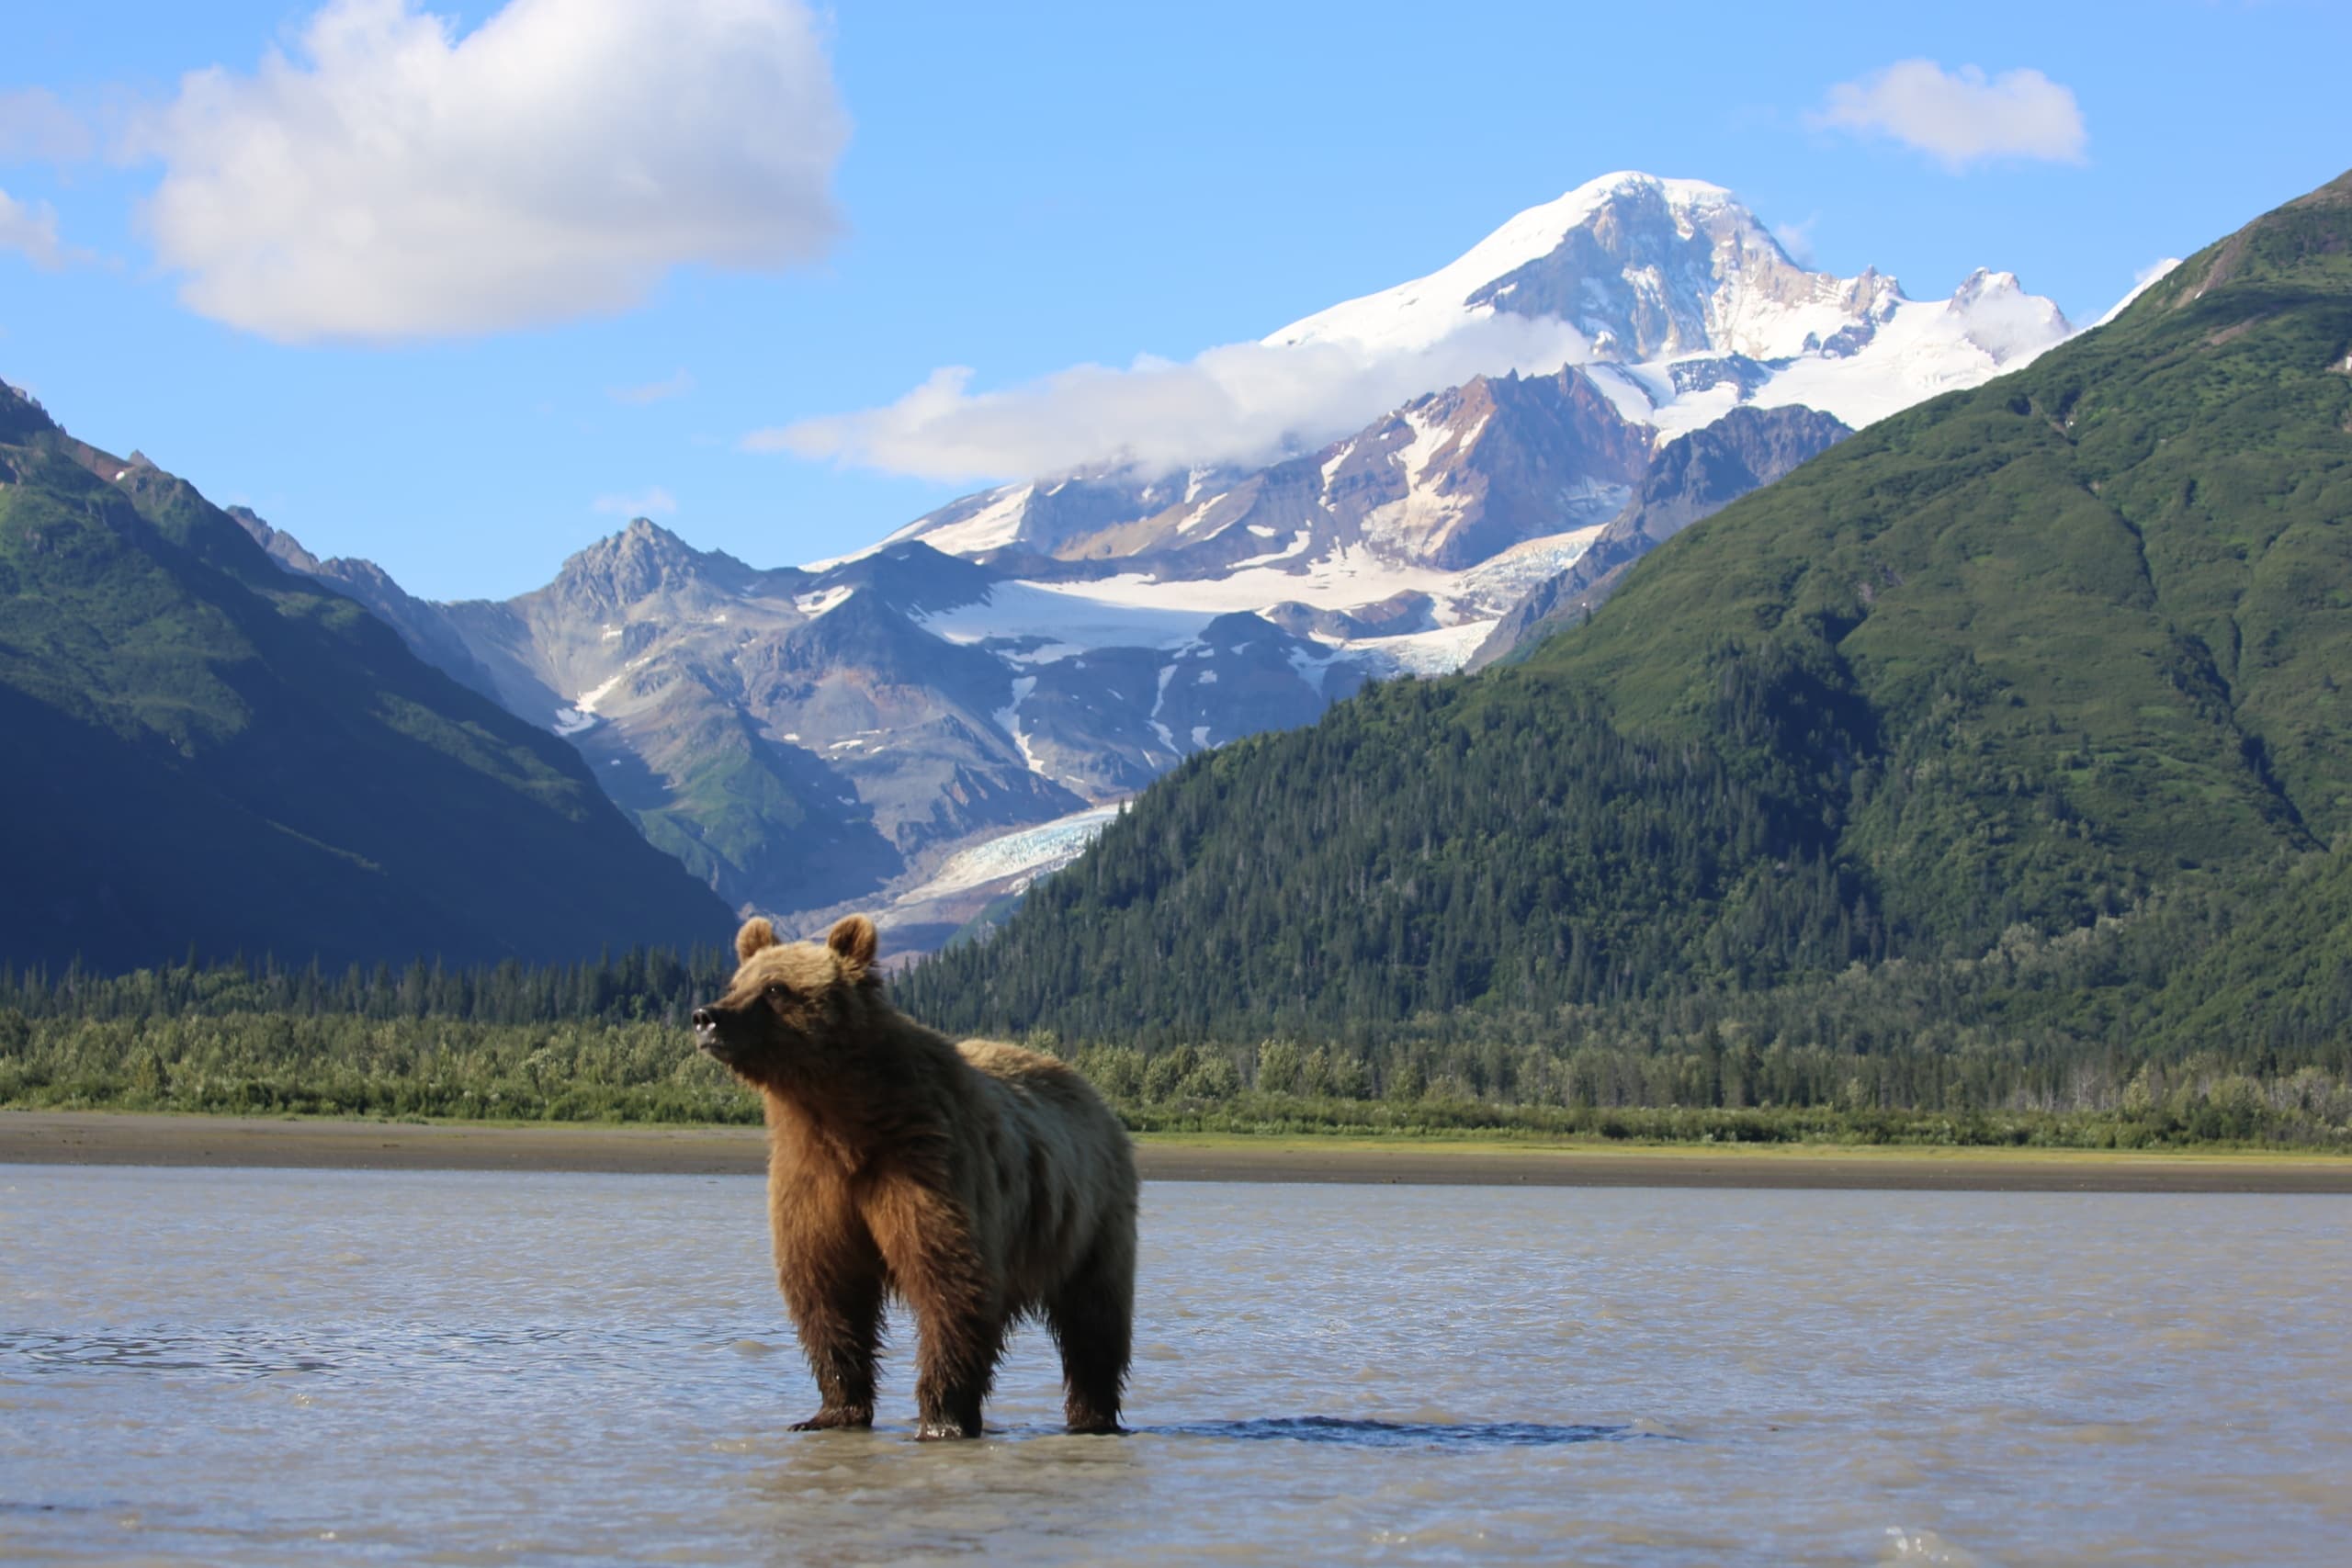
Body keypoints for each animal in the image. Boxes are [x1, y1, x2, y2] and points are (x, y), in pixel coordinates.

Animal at [692, 913, 1138, 1439]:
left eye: (777, 988)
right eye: (736, 983)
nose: (707, 1016)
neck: (841, 1118)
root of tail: (1093, 1094)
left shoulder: (925, 1163)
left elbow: (950, 1286)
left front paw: (941, 1420)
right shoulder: (812, 1180)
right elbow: (827, 1291)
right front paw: (831, 1412)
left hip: (1092, 1217)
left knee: (1094, 1319)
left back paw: (1093, 1416)